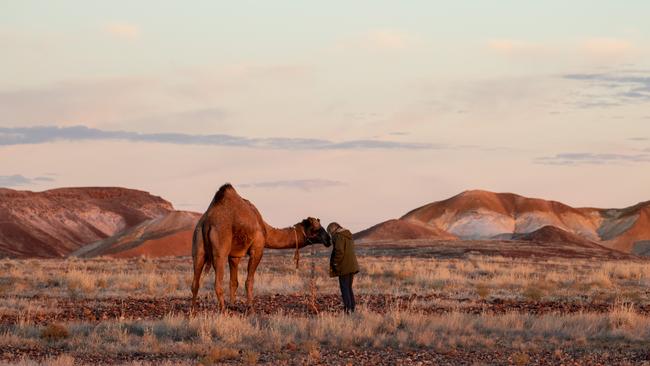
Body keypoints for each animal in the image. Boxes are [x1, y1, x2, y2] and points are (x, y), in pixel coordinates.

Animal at [189, 183, 330, 312]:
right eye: (316, 229)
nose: (328, 239)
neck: (265, 229)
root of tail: (207, 222)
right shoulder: (257, 249)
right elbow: (249, 281)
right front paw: (250, 308)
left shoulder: (234, 255)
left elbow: (234, 282)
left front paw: (233, 306)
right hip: (220, 247)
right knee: (217, 283)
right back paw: (223, 311)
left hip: (198, 246)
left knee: (195, 282)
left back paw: (193, 311)